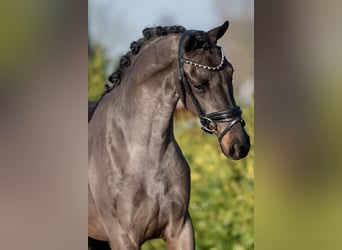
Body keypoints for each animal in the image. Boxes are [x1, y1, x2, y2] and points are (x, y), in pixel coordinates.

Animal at [88, 21, 248, 250]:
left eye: (230, 73)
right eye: (199, 85)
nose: (239, 144)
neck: (142, 154)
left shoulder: (180, 229)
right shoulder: (122, 237)